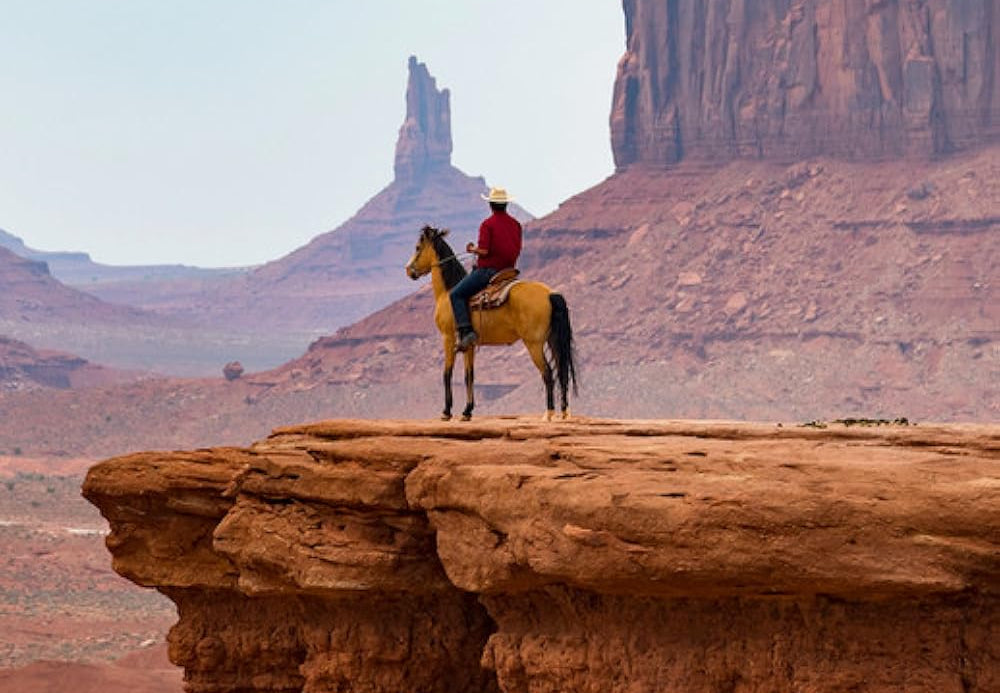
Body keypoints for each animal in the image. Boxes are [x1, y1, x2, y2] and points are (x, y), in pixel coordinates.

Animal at [405, 225, 577, 421]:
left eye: (418, 247)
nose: (408, 270)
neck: (448, 292)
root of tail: (550, 293)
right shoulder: (468, 345)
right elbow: (469, 375)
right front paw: (467, 411)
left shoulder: (448, 338)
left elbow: (447, 373)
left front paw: (446, 412)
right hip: (553, 340)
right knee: (562, 371)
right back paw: (564, 412)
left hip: (534, 344)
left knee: (547, 373)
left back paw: (548, 413)